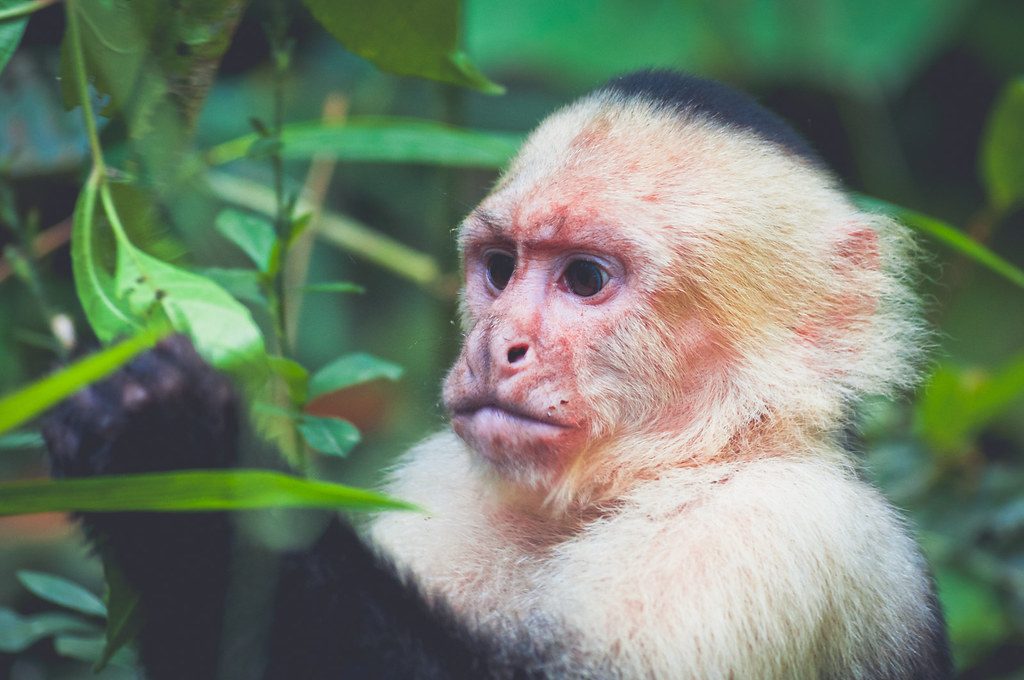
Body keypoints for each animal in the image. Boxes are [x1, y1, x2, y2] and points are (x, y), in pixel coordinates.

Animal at [43, 70, 951, 679]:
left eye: (585, 278)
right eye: (500, 268)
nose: (496, 347)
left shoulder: (773, 531)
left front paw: (178, 442)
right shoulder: (441, 489)